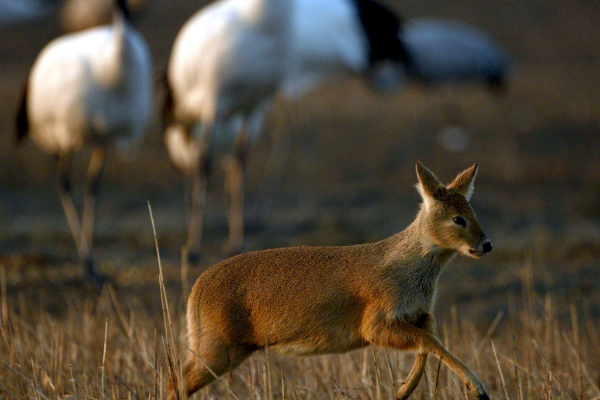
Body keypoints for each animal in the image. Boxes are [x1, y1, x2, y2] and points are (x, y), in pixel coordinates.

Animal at [169, 161, 492, 398]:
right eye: (458, 219)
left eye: (473, 211)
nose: (487, 244)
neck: (408, 271)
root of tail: (195, 292)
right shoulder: (374, 323)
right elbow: (430, 342)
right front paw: (477, 387)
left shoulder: (417, 314)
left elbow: (430, 339)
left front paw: (403, 389)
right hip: (218, 348)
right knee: (176, 381)